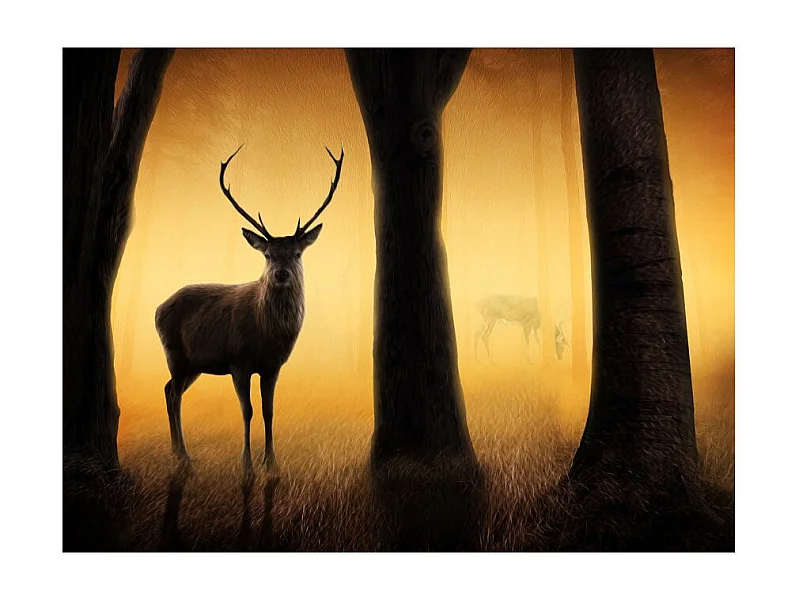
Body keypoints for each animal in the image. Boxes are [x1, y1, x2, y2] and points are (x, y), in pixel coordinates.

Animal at [155, 144, 344, 474]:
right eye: (267, 254)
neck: (267, 337)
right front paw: (247, 465)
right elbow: (247, 410)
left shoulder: (273, 366)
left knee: (168, 390)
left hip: (194, 363)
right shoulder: (238, 361)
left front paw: (272, 463)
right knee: (175, 395)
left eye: (297, 253)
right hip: (174, 352)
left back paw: (177, 452)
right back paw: (185, 458)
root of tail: (157, 309)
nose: (281, 274)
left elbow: (268, 411)